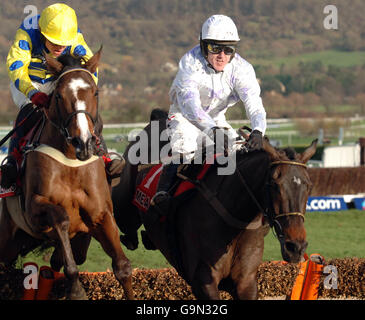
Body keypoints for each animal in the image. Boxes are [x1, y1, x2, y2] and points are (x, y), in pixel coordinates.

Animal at [0, 49, 134, 300]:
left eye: (95, 92)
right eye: (59, 96)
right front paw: (76, 289)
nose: (83, 142)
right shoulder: (35, 209)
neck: (72, 163)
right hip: (9, 236)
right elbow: (61, 218)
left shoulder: (101, 214)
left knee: (59, 260)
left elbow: (122, 267)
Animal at [112, 110, 318, 300]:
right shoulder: (203, 281)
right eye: (274, 184)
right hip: (124, 209)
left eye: (309, 185)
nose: (296, 247)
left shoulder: (246, 281)